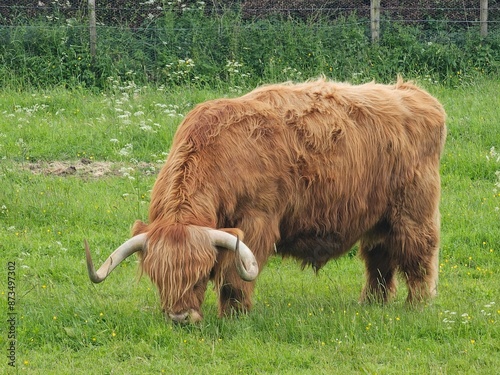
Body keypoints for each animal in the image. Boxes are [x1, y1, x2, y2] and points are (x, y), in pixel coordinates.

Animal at [84, 78, 448, 324]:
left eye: (199, 275)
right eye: (157, 277)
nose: (180, 317)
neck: (218, 153)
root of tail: (416, 94)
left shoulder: (257, 221)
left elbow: (234, 275)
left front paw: (234, 314)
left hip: (413, 211)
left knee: (418, 255)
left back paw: (417, 306)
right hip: (377, 219)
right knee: (379, 259)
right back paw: (371, 303)